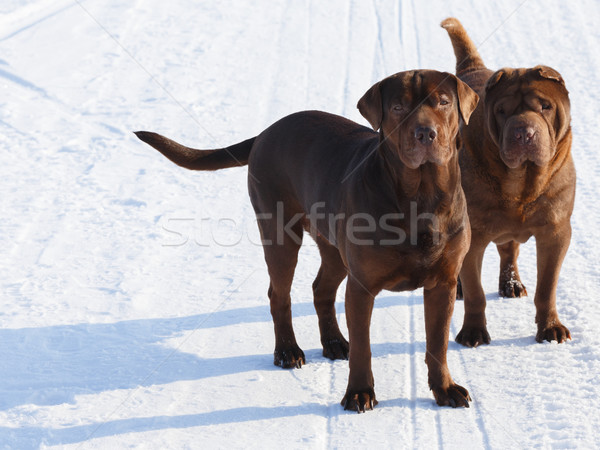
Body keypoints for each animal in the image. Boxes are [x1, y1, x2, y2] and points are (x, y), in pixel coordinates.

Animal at [135, 69, 478, 412]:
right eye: (397, 107)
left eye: (444, 102)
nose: (426, 134)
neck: (421, 195)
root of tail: (265, 133)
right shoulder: (362, 286)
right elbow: (363, 348)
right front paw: (359, 392)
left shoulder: (444, 284)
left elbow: (437, 343)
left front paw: (445, 389)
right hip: (280, 235)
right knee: (279, 294)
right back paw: (287, 350)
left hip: (334, 248)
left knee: (321, 289)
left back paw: (334, 342)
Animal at [440, 17, 576, 346]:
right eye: (502, 111)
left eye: (545, 106)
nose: (523, 132)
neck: (522, 181)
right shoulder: (474, 236)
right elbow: (475, 291)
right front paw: (473, 332)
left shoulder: (555, 233)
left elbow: (547, 287)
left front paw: (550, 328)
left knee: (509, 250)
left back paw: (511, 284)